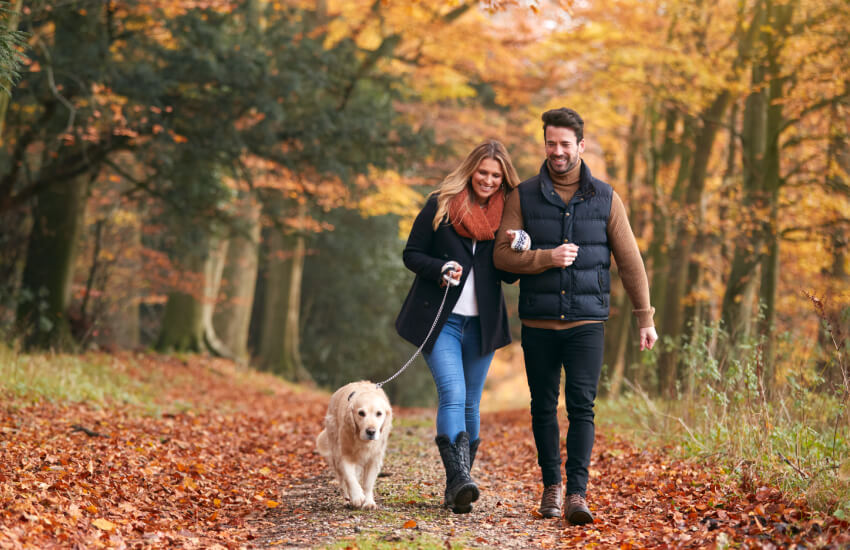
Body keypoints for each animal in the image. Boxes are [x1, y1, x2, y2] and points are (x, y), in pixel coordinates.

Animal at [314, 382, 390, 512]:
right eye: (361, 413)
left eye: (379, 413)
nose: (371, 431)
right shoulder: (344, 455)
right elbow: (350, 478)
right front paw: (357, 497)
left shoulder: (374, 459)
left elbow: (367, 483)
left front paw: (369, 502)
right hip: (335, 452)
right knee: (342, 481)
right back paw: (347, 500)